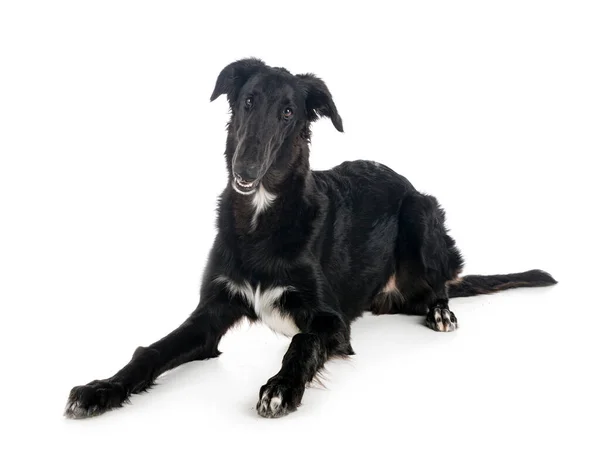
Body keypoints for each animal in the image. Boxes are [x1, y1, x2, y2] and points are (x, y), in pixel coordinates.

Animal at [63, 57, 556, 418]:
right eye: (247, 101)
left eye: (288, 112)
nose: (245, 168)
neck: (262, 219)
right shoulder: (211, 312)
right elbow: (151, 350)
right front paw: (101, 388)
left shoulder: (331, 320)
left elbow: (301, 342)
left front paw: (280, 386)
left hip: (422, 211)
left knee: (440, 284)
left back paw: (441, 311)